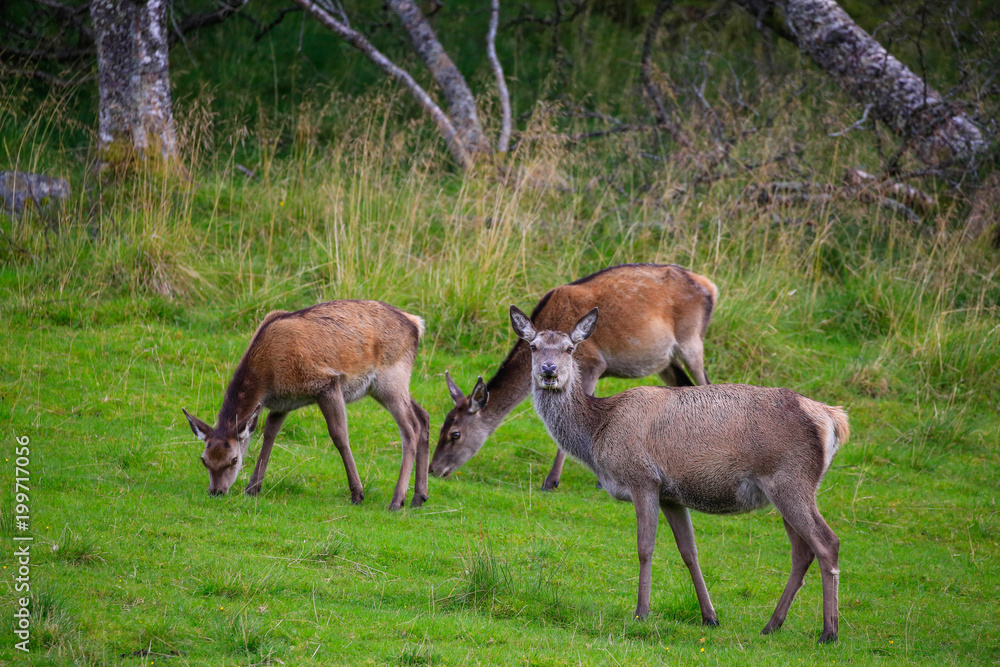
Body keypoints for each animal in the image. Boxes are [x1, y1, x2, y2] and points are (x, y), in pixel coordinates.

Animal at [182, 300, 430, 510]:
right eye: (204, 460)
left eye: (233, 460)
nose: (216, 491)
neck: (268, 377)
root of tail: (416, 324)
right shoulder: (281, 403)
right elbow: (269, 434)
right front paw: (253, 487)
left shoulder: (326, 384)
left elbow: (339, 436)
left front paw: (357, 493)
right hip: (386, 386)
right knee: (424, 416)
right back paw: (419, 496)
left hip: (391, 378)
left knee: (410, 428)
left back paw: (397, 500)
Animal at [430, 263, 718, 490]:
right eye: (441, 426)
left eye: (455, 434)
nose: (433, 470)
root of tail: (711, 286)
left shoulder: (592, 364)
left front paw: (552, 481)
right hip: (665, 361)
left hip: (691, 340)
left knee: (707, 383)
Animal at [509, 305, 849, 644]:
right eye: (534, 346)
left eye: (570, 348)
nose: (549, 370)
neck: (596, 435)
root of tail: (833, 419)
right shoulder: (671, 495)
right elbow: (689, 552)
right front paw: (709, 616)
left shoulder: (643, 478)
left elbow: (645, 547)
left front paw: (641, 612)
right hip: (786, 488)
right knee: (802, 553)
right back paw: (772, 624)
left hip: (791, 480)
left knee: (827, 543)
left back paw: (829, 631)